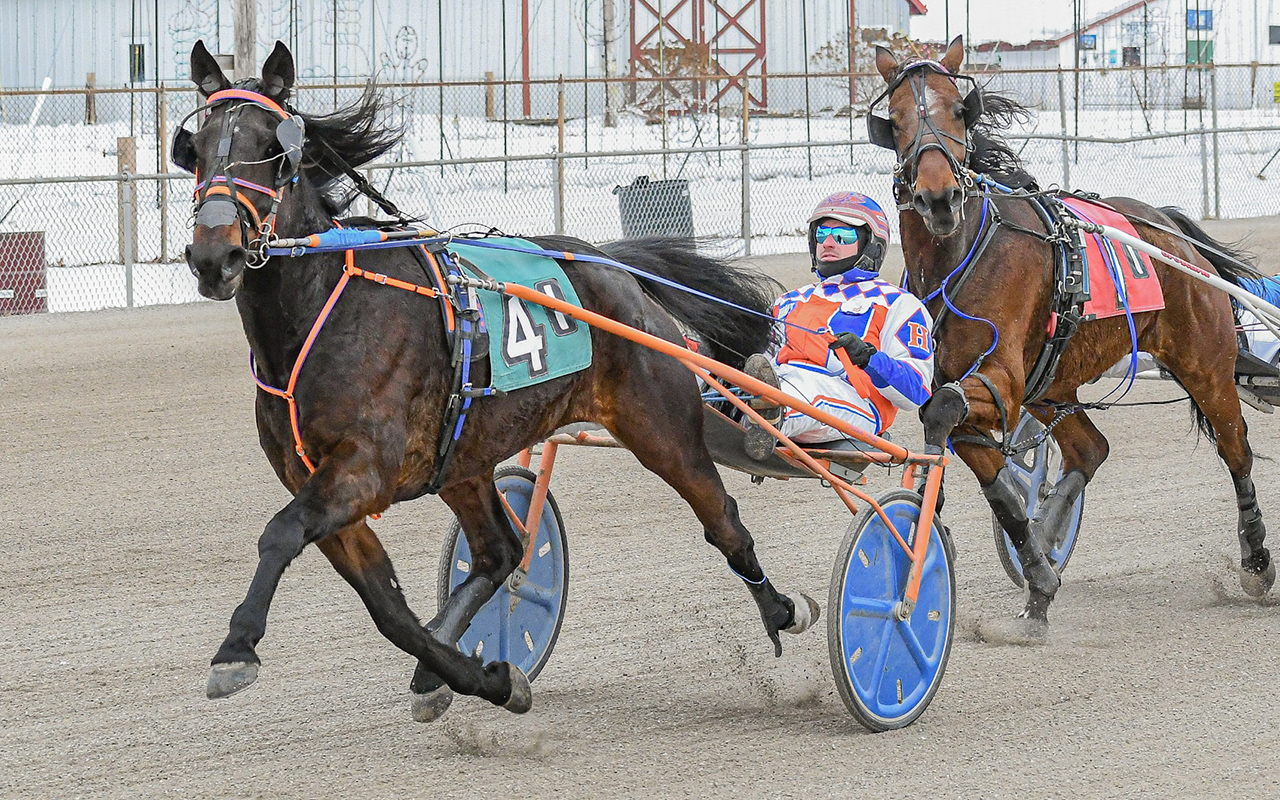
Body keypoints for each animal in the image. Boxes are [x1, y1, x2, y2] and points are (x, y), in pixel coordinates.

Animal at [173, 40, 819, 721]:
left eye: (273, 146)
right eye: (198, 144)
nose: (214, 256)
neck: (321, 313)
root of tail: (612, 266)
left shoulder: (363, 469)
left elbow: (280, 533)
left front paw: (236, 650)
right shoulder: (322, 484)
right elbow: (389, 611)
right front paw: (483, 677)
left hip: (661, 426)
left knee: (722, 518)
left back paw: (785, 609)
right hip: (466, 459)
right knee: (501, 551)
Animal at [869, 37, 1275, 636]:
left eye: (958, 110)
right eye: (895, 121)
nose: (938, 199)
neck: (962, 252)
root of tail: (1172, 232)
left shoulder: (1003, 380)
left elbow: (942, 413)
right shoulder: (979, 387)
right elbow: (976, 460)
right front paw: (1037, 575)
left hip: (1206, 366)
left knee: (1237, 450)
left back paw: (1256, 561)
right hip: (1053, 385)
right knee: (1090, 448)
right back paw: (1049, 529)